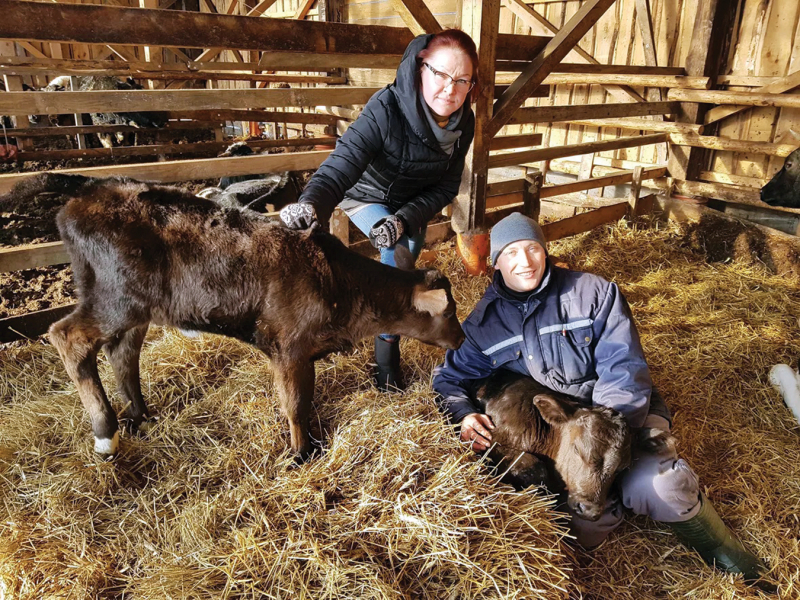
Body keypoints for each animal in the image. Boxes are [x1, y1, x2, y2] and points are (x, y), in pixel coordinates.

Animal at [7, 172, 468, 460]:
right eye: (450, 312)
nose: (463, 340)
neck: (338, 283)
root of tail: (92, 185)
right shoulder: (288, 349)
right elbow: (296, 405)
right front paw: (302, 454)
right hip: (114, 298)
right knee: (68, 336)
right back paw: (105, 435)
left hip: (137, 306)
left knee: (123, 351)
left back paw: (138, 414)